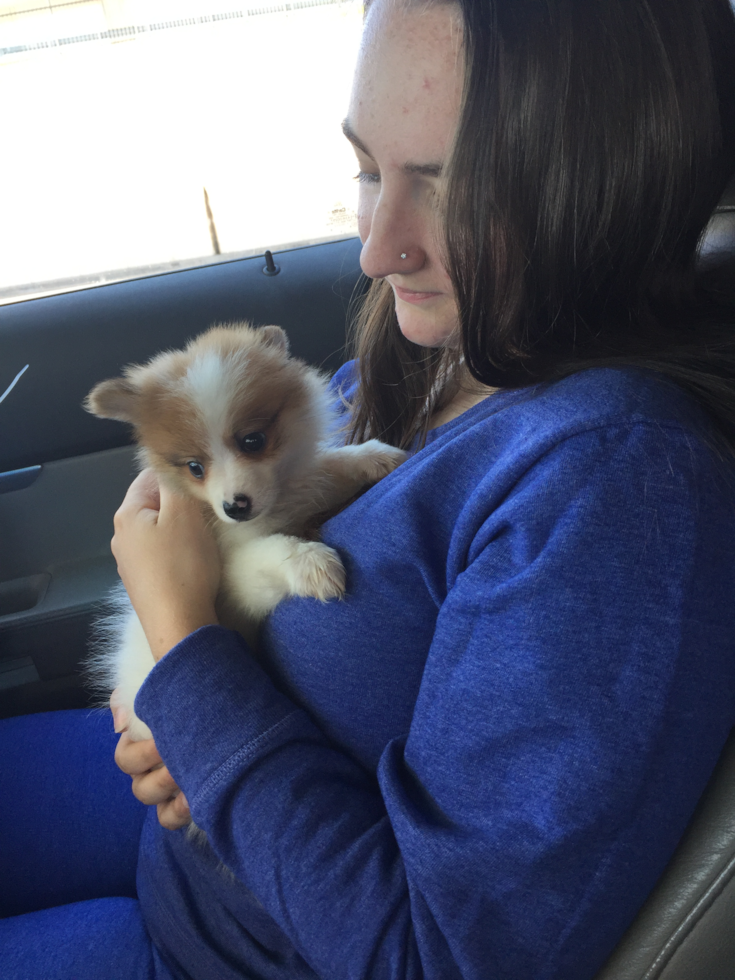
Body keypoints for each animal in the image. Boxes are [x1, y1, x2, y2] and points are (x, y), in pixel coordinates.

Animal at [87, 326, 408, 740]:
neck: (278, 503)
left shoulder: (304, 481)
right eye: (194, 468)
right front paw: (310, 562)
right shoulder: (232, 580)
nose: (234, 507)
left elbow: (331, 464)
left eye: (252, 440)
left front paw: (373, 455)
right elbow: (268, 550)